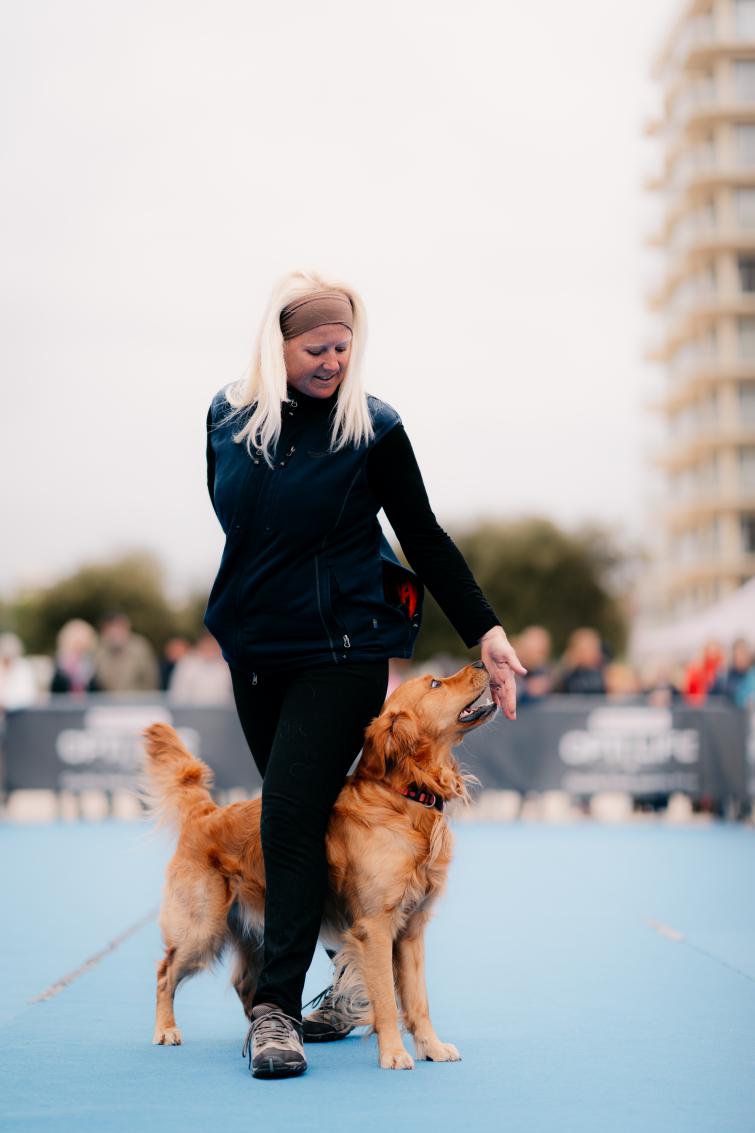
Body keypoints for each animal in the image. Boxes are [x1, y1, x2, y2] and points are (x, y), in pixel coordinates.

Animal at [142, 661, 495, 1069]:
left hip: (256, 930)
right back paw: (167, 1029)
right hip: (201, 928)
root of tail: (205, 814)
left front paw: (432, 1046)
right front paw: (393, 1053)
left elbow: (418, 1001)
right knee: (165, 972)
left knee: (245, 983)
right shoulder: (375, 928)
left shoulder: (411, 930)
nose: (482, 662)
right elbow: (387, 1001)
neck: (404, 798)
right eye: (435, 683)